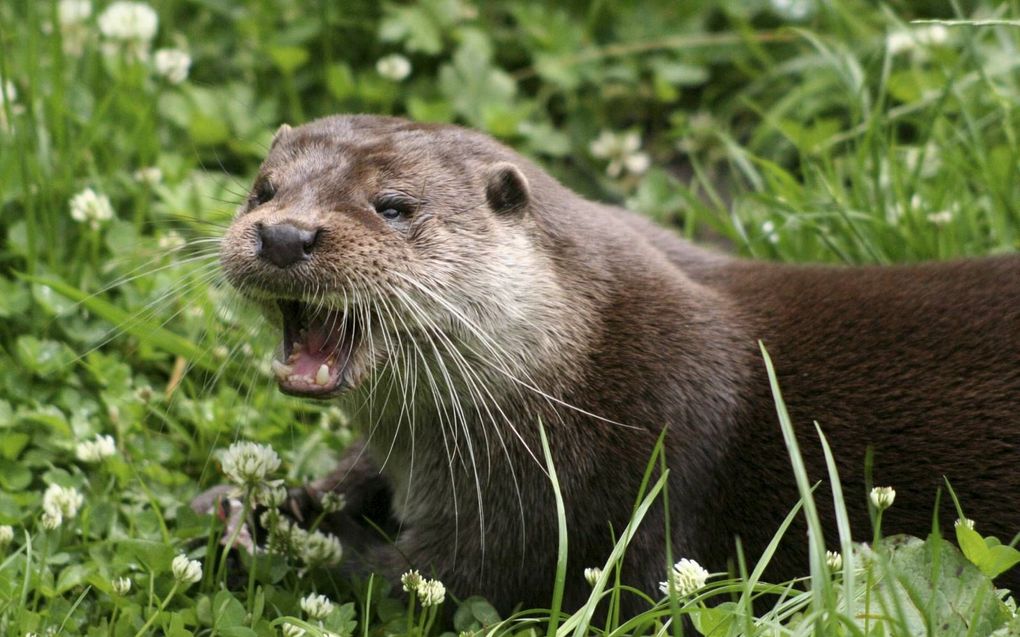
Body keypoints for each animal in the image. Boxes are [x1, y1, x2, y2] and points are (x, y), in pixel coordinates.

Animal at [213, 113, 1020, 611]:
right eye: (262, 190)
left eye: (392, 206)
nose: (284, 233)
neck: (580, 383)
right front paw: (268, 497)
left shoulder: (566, 507)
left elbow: (419, 578)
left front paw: (268, 531)